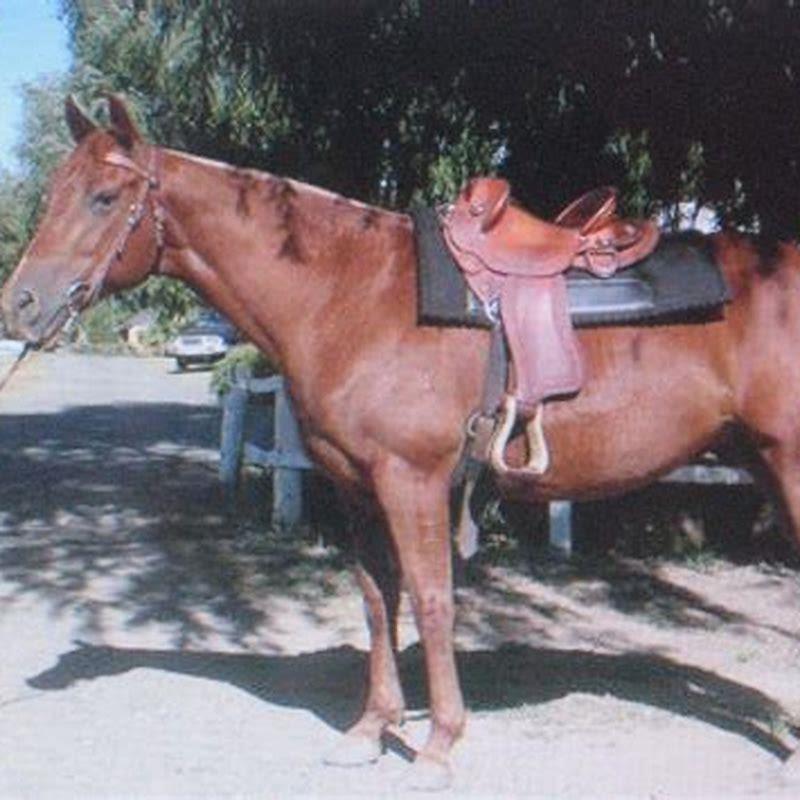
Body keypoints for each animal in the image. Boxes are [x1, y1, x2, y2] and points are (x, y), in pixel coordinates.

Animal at [3, 96, 800, 790]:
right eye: (57, 190)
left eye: (104, 197)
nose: (20, 305)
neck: (350, 294)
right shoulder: (356, 486)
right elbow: (375, 598)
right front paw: (369, 731)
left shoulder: (411, 480)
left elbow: (430, 599)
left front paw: (439, 747)